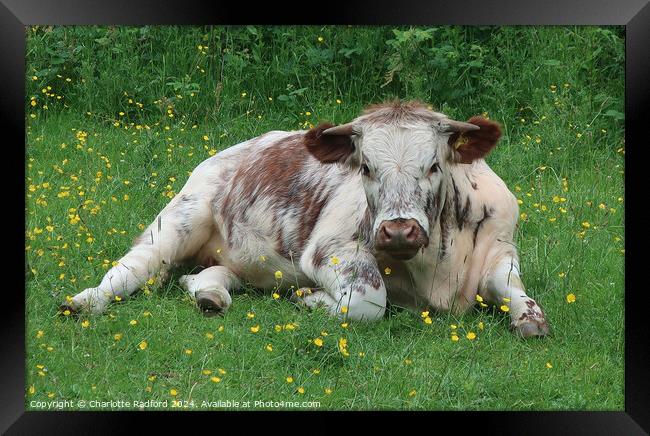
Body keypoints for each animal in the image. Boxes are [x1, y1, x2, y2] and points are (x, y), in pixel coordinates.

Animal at [62, 101, 548, 338]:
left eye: (433, 165)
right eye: (365, 167)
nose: (398, 231)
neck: (438, 269)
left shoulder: (501, 247)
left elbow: (513, 288)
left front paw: (529, 318)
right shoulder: (329, 249)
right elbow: (369, 301)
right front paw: (311, 300)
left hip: (242, 258)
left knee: (206, 275)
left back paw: (211, 296)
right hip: (180, 217)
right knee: (133, 268)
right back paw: (84, 301)